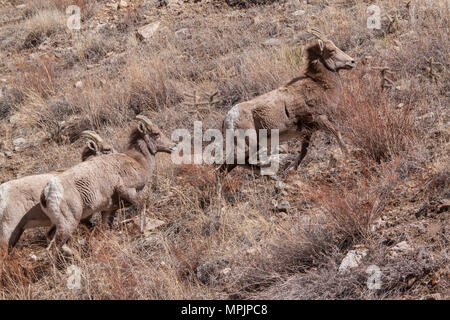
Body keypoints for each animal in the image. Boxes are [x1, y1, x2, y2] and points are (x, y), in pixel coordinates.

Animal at [40, 115, 176, 255]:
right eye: (156, 133)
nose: (173, 146)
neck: (138, 163)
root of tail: (46, 192)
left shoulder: (108, 210)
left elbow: (106, 228)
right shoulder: (127, 190)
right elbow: (142, 207)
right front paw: (143, 231)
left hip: (58, 224)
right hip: (68, 224)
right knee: (53, 248)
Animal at [221, 29, 356, 175]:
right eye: (331, 50)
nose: (352, 62)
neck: (321, 85)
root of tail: (229, 118)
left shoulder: (308, 132)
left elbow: (303, 152)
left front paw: (291, 169)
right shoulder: (320, 118)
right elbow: (337, 132)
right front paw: (347, 155)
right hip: (246, 145)